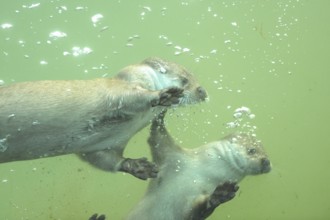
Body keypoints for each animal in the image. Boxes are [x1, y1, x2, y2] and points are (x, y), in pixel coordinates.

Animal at [0, 57, 208, 180]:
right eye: (184, 80)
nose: (202, 91)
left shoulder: (103, 145)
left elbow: (104, 159)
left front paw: (140, 167)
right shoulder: (119, 90)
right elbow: (132, 97)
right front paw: (163, 95)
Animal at [126, 111, 270, 220]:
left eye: (266, 153)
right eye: (252, 150)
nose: (266, 162)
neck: (204, 171)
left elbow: (197, 212)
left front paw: (221, 194)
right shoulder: (172, 155)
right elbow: (157, 135)